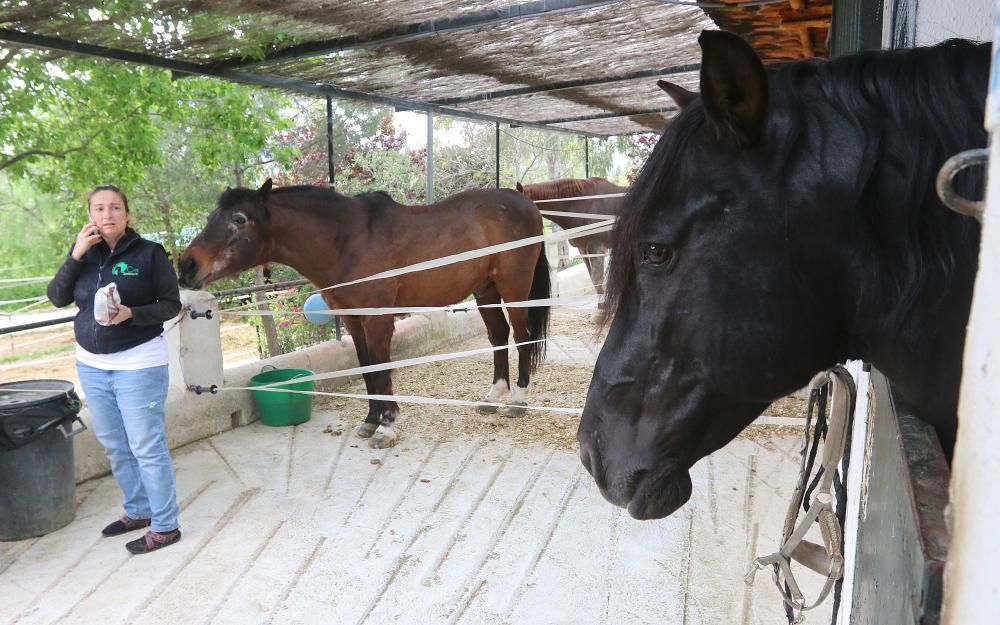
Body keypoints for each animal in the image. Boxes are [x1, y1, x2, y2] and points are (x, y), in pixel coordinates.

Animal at [181, 180, 556, 448]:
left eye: (239, 219)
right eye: (211, 217)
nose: (186, 265)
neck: (346, 240)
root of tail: (525, 202)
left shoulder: (377, 319)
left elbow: (381, 368)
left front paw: (387, 426)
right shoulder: (353, 319)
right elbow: (366, 369)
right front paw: (371, 420)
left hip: (514, 288)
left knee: (522, 337)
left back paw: (519, 400)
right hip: (486, 290)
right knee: (498, 337)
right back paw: (494, 396)